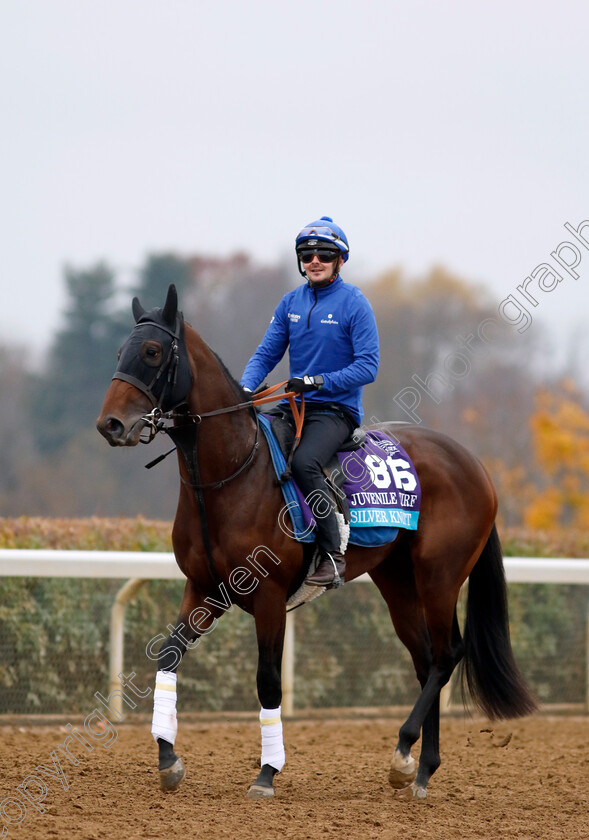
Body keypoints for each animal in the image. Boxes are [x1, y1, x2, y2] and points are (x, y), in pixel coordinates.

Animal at [96, 288, 536, 800]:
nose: (110, 424)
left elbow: (268, 683)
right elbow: (168, 655)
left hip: (439, 576)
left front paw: (267, 773)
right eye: (118, 352)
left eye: (151, 352)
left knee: (446, 656)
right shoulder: (204, 589)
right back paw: (421, 769)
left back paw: (405, 751)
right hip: (398, 580)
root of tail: (476, 466)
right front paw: (168, 758)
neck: (234, 474)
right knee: (427, 659)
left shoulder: (268, 598)